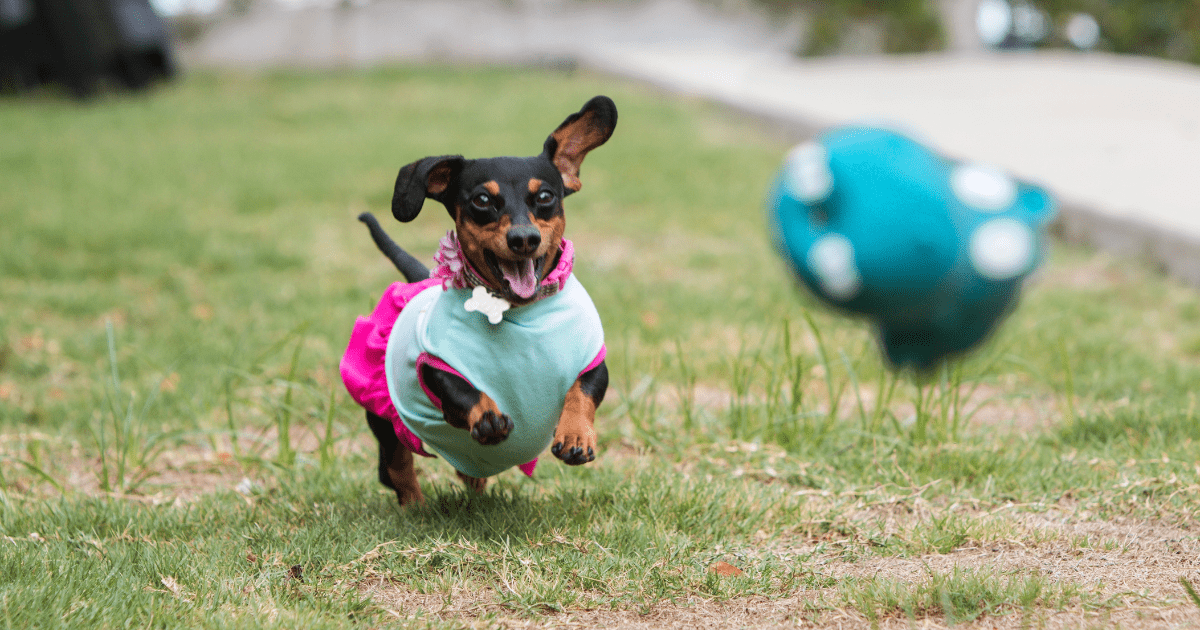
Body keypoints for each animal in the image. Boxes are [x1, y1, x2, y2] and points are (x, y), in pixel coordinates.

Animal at [340, 94, 614, 506]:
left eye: (545, 196)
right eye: (482, 200)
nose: (524, 238)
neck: (518, 312)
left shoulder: (594, 361)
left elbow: (582, 391)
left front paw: (576, 435)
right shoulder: (432, 365)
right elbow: (462, 390)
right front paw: (487, 416)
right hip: (386, 422)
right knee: (395, 468)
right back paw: (415, 506)